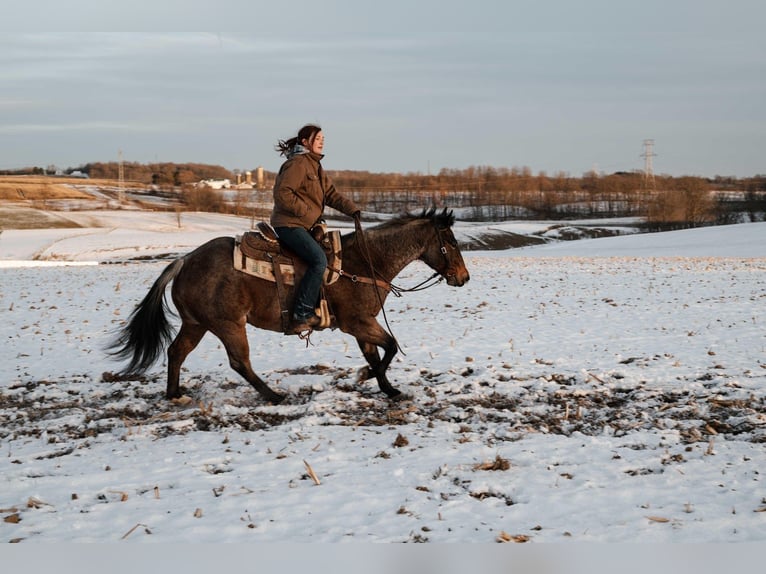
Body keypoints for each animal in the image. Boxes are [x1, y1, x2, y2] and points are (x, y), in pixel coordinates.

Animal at [107, 207, 470, 404]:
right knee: (239, 362)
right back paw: (273, 396)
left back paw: (174, 394)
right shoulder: (357, 322)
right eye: (451, 242)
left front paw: (387, 387)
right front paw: (367, 376)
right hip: (228, 324)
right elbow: (390, 347)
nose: (463, 278)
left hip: (197, 324)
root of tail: (183, 261)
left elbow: (377, 352)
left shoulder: (362, 324)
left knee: (176, 352)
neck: (365, 263)